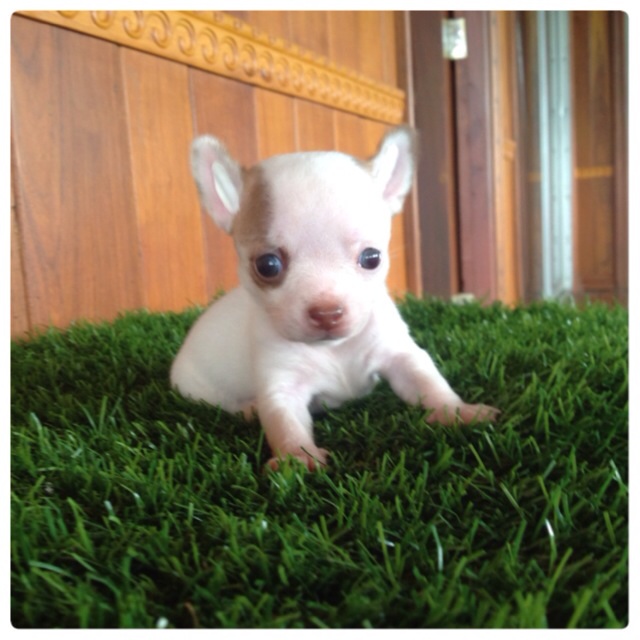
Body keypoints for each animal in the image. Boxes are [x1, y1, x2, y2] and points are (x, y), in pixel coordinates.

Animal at [171, 126, 498, 470]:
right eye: (267, 265)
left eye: (372, 258)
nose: (327, 312)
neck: (334, 349)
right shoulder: (282, 384)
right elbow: (284, 421)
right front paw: (296, 458)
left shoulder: (400, 356)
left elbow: (429, 382)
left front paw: (458, 412)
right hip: (197, 389)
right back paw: (248, 409)